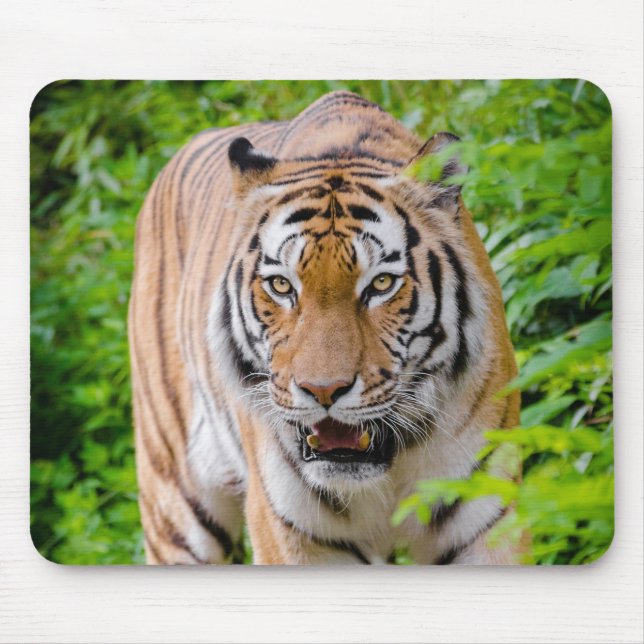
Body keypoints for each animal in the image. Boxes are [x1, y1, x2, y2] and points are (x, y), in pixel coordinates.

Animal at [128, 90, 520, 565]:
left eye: (381, 284)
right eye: (281, 285)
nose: (323, 391)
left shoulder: (484, 516)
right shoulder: (289, 531)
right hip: (174, 503)